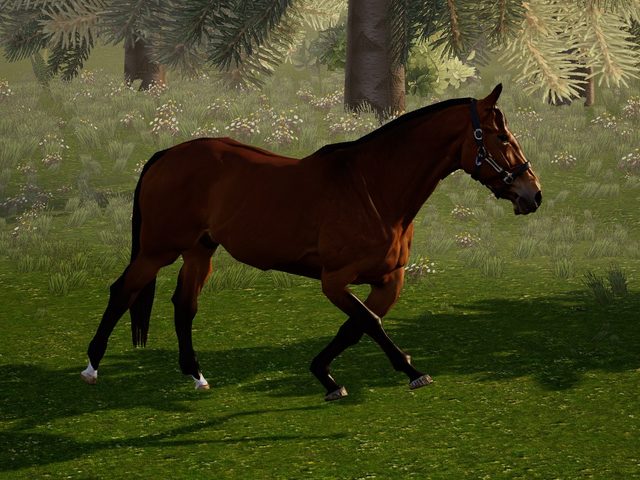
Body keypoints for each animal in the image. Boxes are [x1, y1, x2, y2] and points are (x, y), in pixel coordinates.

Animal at [81, 84, 542, 401]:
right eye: (502, 138)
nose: (532, 194)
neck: (372, 189)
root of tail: (166, 155)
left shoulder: (389, 280)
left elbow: (356, 327)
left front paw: (326, 375)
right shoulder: (334, 280)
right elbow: (368, 323)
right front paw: (411, 373)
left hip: (200, 249)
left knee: (184, 304)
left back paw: (196, 376)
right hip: (158, 249)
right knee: (122, 291)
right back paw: (91, 368)